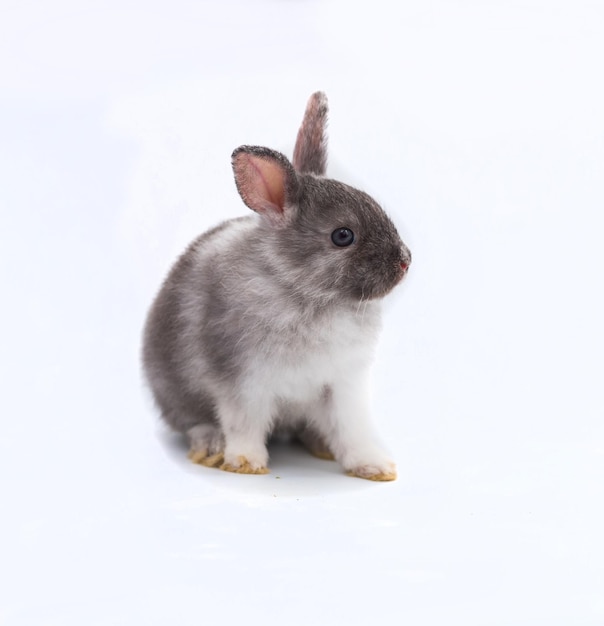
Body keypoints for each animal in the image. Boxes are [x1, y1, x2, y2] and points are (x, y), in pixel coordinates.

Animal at [144, 90, 412, 480]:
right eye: (342, 236)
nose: (405, 261)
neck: (307, 294)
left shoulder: (342, 385)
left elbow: (351, 428)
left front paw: (373, 465)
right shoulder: (244, 382)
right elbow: (243, 423)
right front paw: (245, 462)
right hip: (175, 394)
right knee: (193, 422)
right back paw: (210, 446)